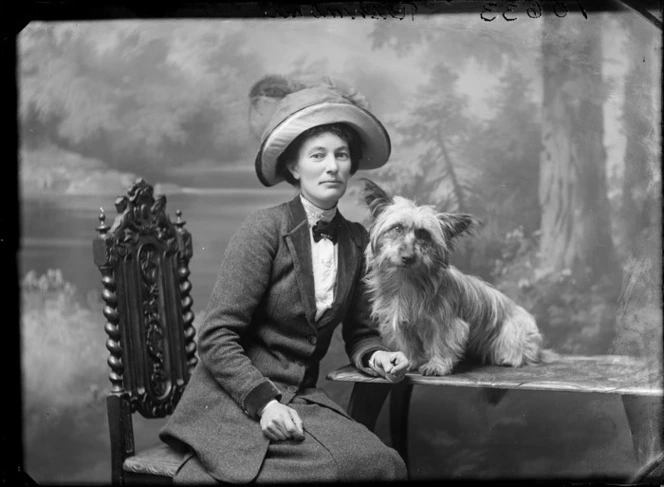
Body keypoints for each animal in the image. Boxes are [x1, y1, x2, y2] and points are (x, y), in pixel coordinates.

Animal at [364, 179, 544, 378]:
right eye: (397, 228)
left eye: (424, 234)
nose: (408, 257)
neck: (408, 281)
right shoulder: (402, 324)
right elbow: (410, 345)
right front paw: (411, 361)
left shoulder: (448, 325)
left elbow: (441, 344)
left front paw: (436, 365)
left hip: (512, 334)